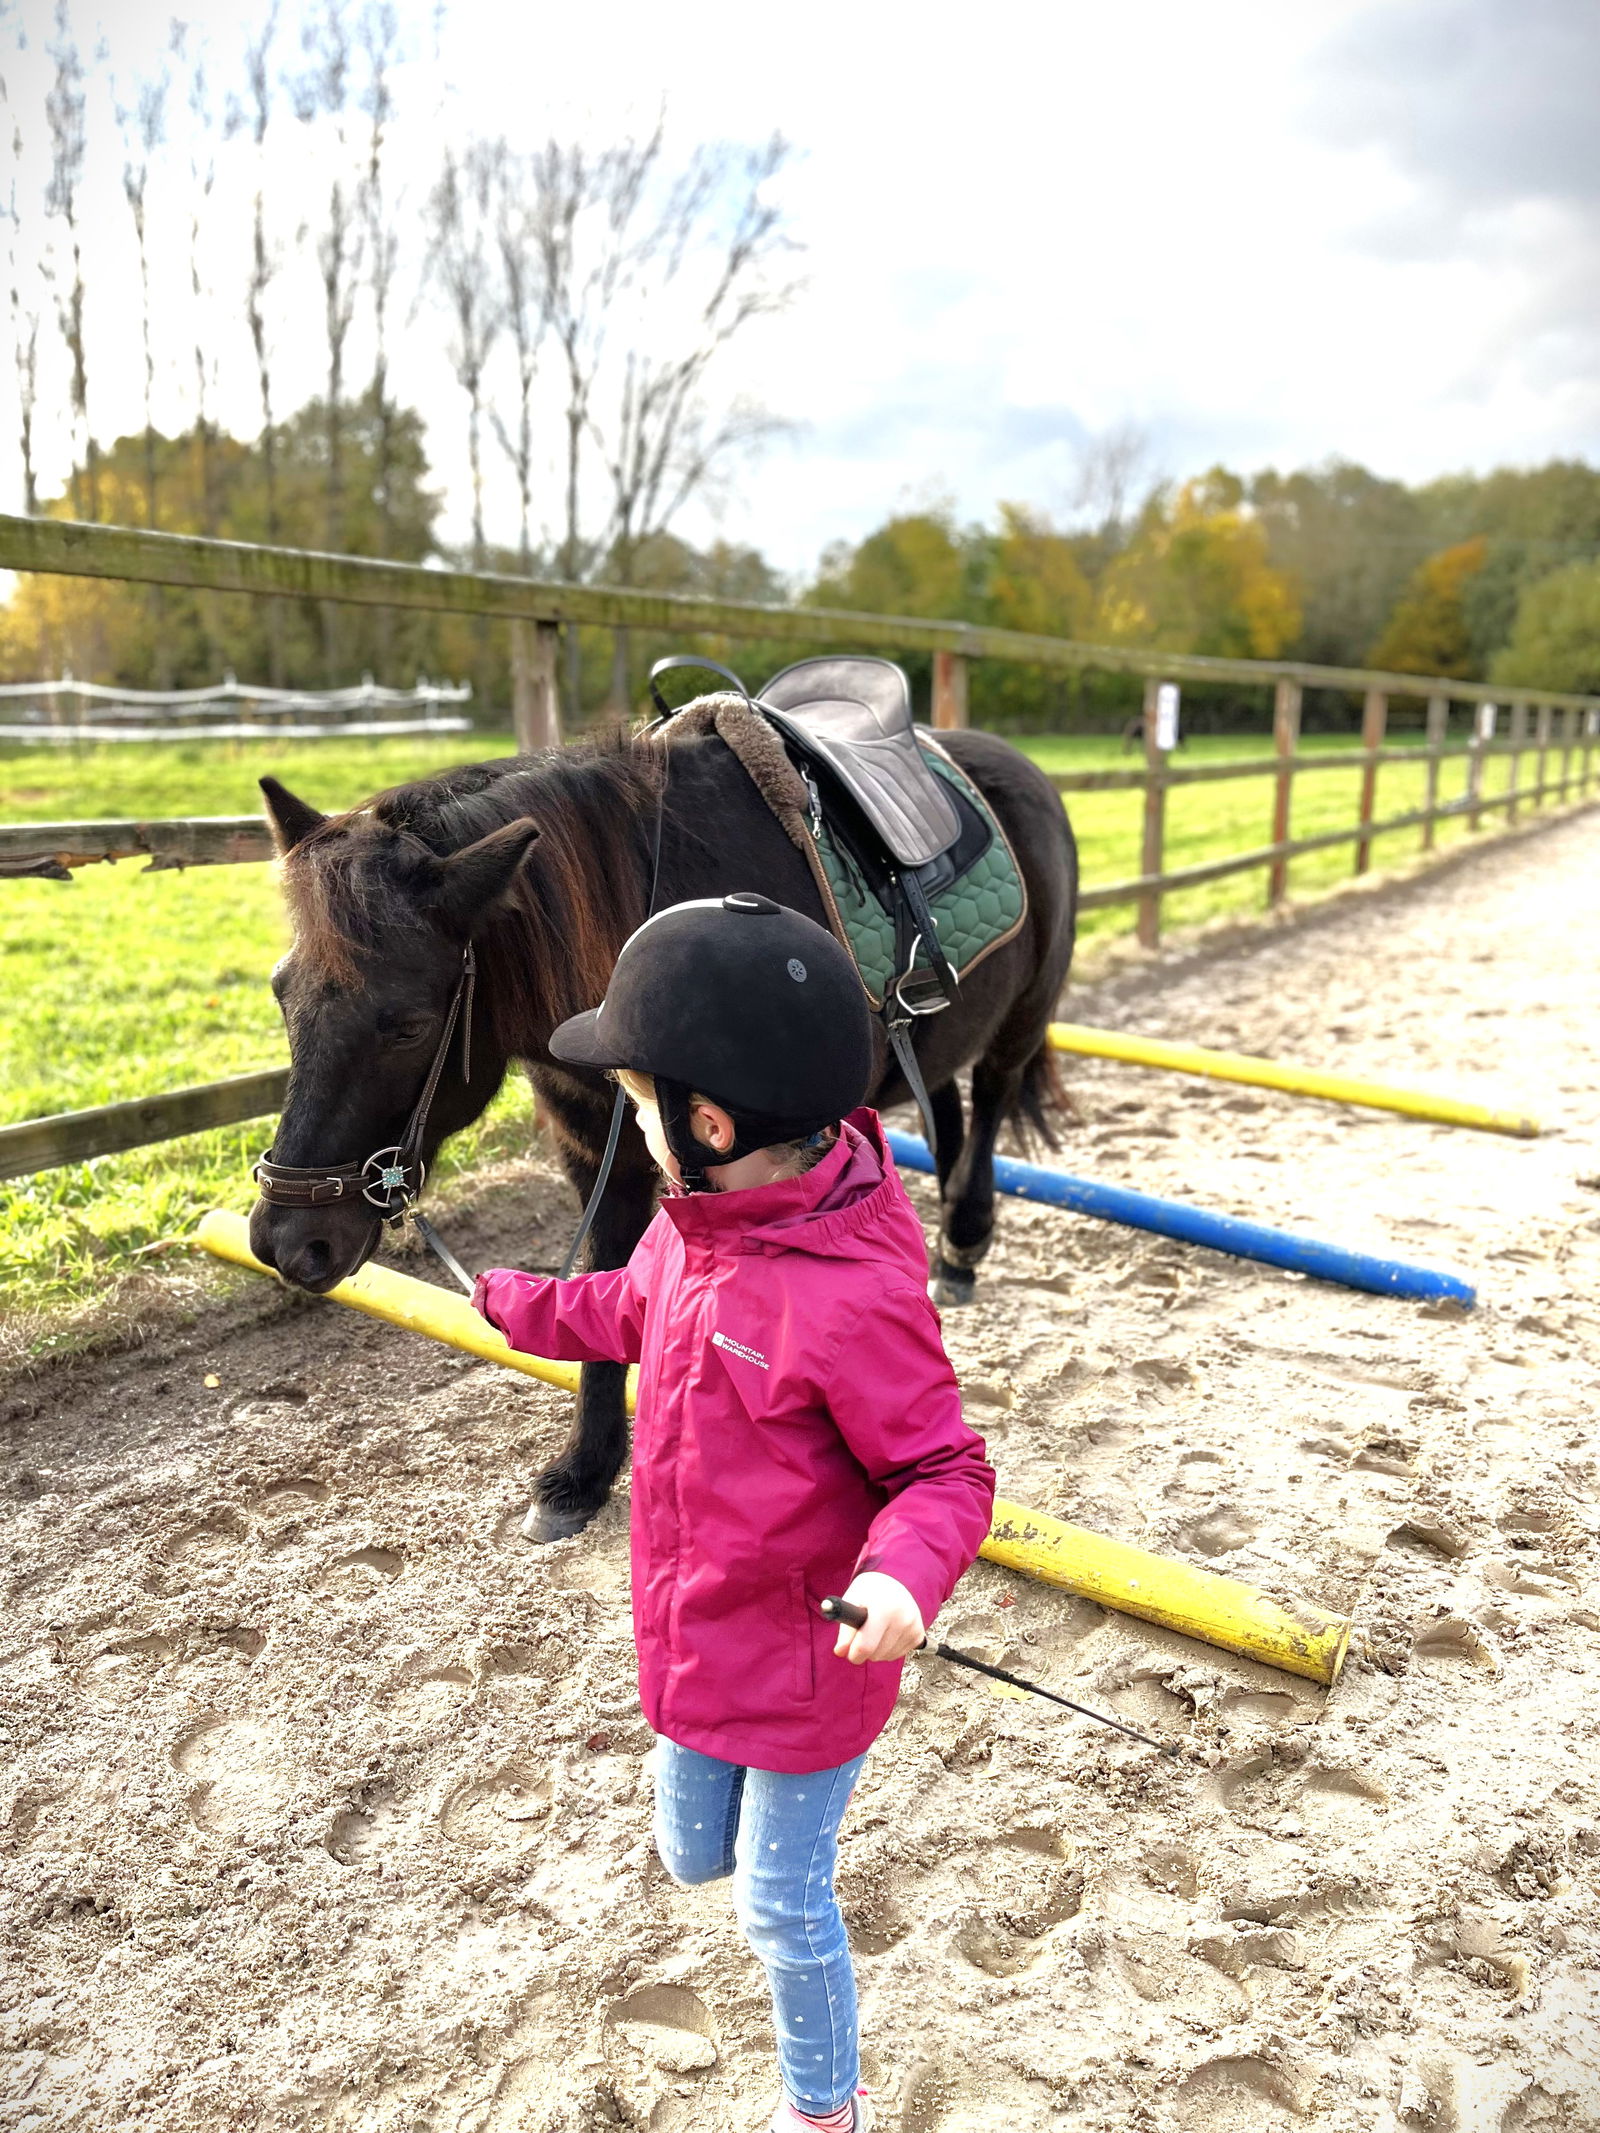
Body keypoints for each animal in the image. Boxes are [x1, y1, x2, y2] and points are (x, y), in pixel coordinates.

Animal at [249, 715, 1078, 1541]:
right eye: (281, 991)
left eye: (409, 1025)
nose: (287, 1242)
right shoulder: (599, 1153)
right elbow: (602, 1291)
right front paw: (585, 1469)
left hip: (1020, 1022)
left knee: (990, 1099)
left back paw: (963, 1242)